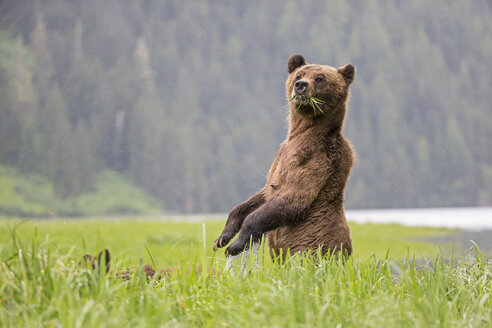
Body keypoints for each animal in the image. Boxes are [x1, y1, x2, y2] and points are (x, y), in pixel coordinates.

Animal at [213, 53, 356, 258]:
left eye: (320, 78)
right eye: (299, 75)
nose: (301, 85)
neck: (302, 130)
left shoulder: (315, 156)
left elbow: (293, 196)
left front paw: (237, 244)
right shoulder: (282, 153)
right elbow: (263, 194)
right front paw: (223, 237)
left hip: (314, 250)